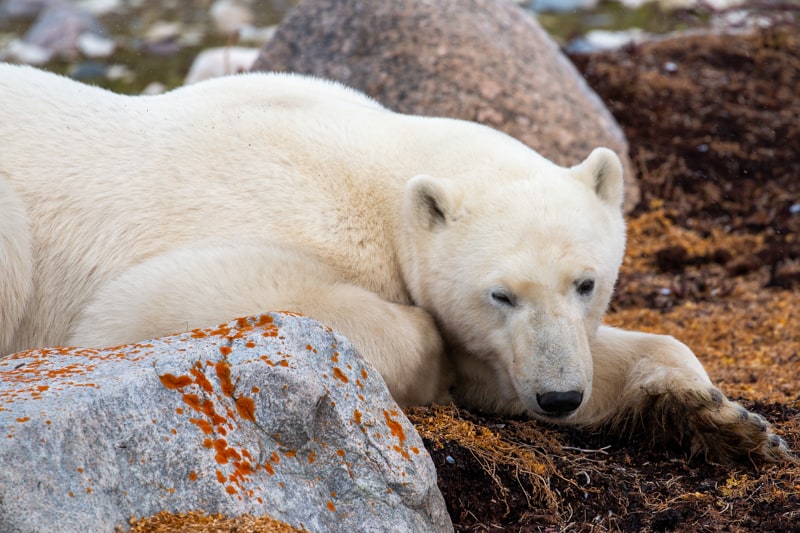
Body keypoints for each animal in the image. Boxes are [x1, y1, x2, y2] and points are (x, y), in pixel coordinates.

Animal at [0, 63, 788, 462]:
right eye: (501, 294)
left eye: (586, 282)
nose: (560, 395)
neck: (375, 168)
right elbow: (153, 305)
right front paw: (435, 365)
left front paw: (723, 418)